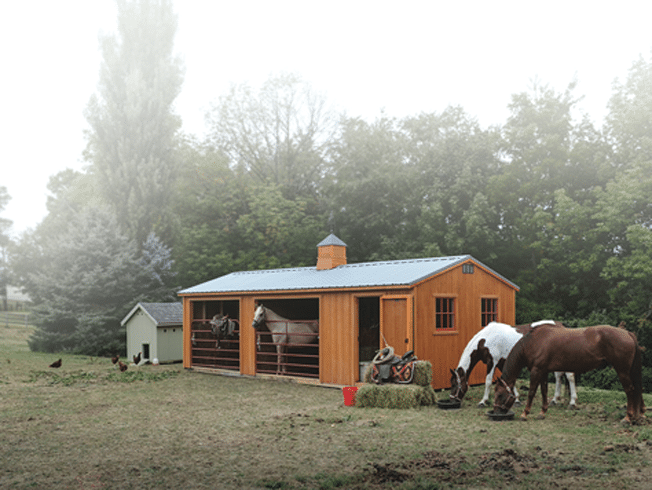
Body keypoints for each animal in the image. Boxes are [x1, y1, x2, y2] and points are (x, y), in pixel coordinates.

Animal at [448, 322, 576, 410]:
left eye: (454, 384)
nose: (452, 400)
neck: (486, 339)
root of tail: (560, 326)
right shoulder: (502, 363)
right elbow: (509, 382)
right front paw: (517, 400)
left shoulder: (492, 361)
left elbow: (488, 381)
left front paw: (483, 401)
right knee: (558, 376)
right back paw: (554, 400)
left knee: (569, 377)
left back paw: (572, 403)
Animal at [494, 324, 648, 424]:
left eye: (500, 395)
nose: (496, 411)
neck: (534, 342)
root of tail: (627, 334)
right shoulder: (543, 371)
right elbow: (544, 391)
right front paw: (542, 412)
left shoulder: (536, 371)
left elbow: (532, 392)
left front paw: (525, 414)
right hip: (630, 371)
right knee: (637, 389)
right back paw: (638, 415)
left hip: (622, 371)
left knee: (630, 390)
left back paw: (627, 417)